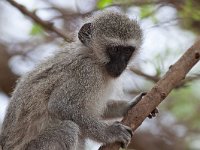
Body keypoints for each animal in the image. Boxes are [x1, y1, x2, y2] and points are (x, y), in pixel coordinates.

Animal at [0, 11, 151, 150]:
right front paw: (110, 132)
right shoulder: (86, 73)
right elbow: (59, 106)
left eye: (127, 51)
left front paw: (131, 104)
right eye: (115, 49)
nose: (120, 65)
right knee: (68, 130)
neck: (94, 58)